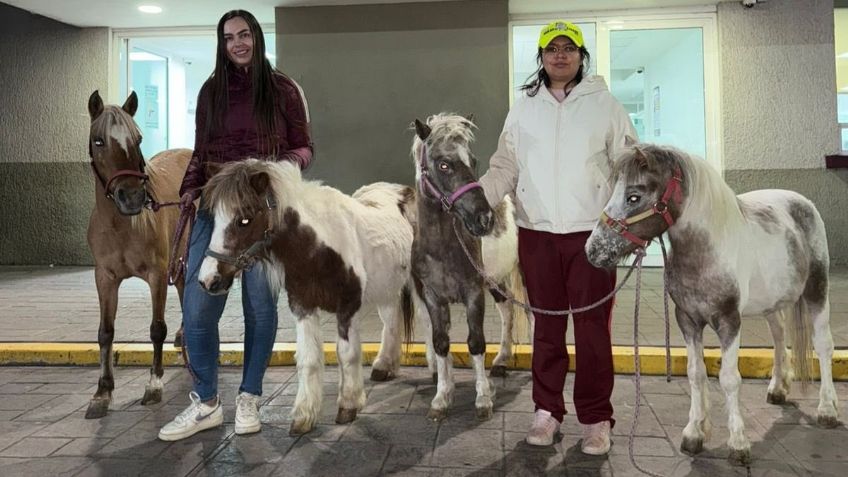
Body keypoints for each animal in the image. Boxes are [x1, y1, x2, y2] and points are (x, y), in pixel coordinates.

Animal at [85, 89, 190, 416]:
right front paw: (102, 392)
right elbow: (105, 332)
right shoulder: (104, 278)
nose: (131, 197)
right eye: (98, 140)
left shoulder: (156, 274)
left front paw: (154, 384)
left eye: (139, 138)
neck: (122, 225)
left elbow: (157, 328)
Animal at [195, 160, 414, 436]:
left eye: (244, 219)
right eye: (214, 218)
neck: (319, 246)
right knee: (392, 323)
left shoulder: (348, 307)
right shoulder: (303, 306)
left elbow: (348, 353)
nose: (208, 280)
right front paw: (304, 416)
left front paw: (349, 405)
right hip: (387, 288)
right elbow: (308, 359)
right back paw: (385, 366)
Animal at [588, 145, 840, 464]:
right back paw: (778, 389)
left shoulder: (729, 320)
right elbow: (696, 374)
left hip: (817, 289)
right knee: (779, 335)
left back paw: (827, 409)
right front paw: (694, 434)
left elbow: (729, 378)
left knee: (823, 345)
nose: (593, 250)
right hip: (771, 302)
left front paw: (738, 443)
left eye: (634, 196)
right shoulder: (687, 319)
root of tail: (801, 202)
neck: (706, 251)